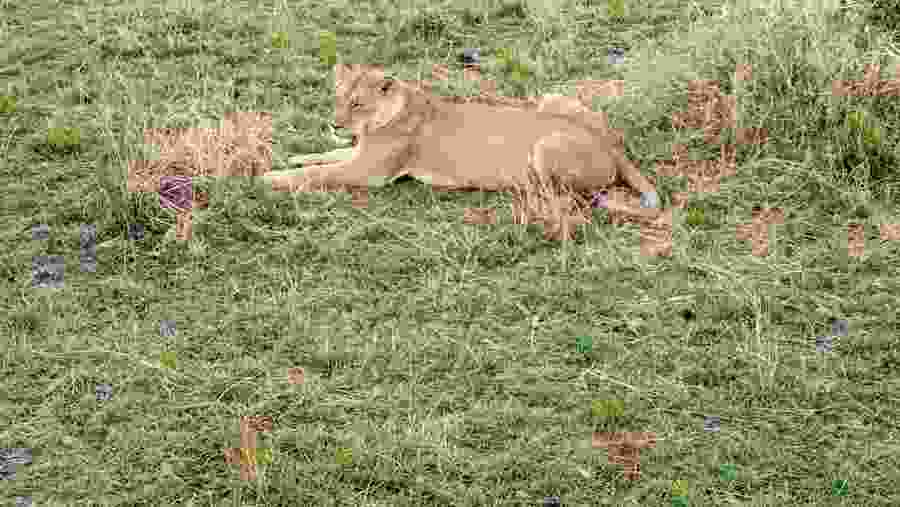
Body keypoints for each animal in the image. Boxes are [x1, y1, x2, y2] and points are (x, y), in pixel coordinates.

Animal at [264, 64, 658, 206]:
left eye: (358, 104)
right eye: (337, 98)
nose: (335, 124)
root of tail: (612, 146)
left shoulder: (370, 172)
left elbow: (319, 173)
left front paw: (270, 177)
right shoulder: (361, 154)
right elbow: (324, 156)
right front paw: (292, 156)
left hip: (547, 146)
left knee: (564, 194)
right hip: (552, 98)